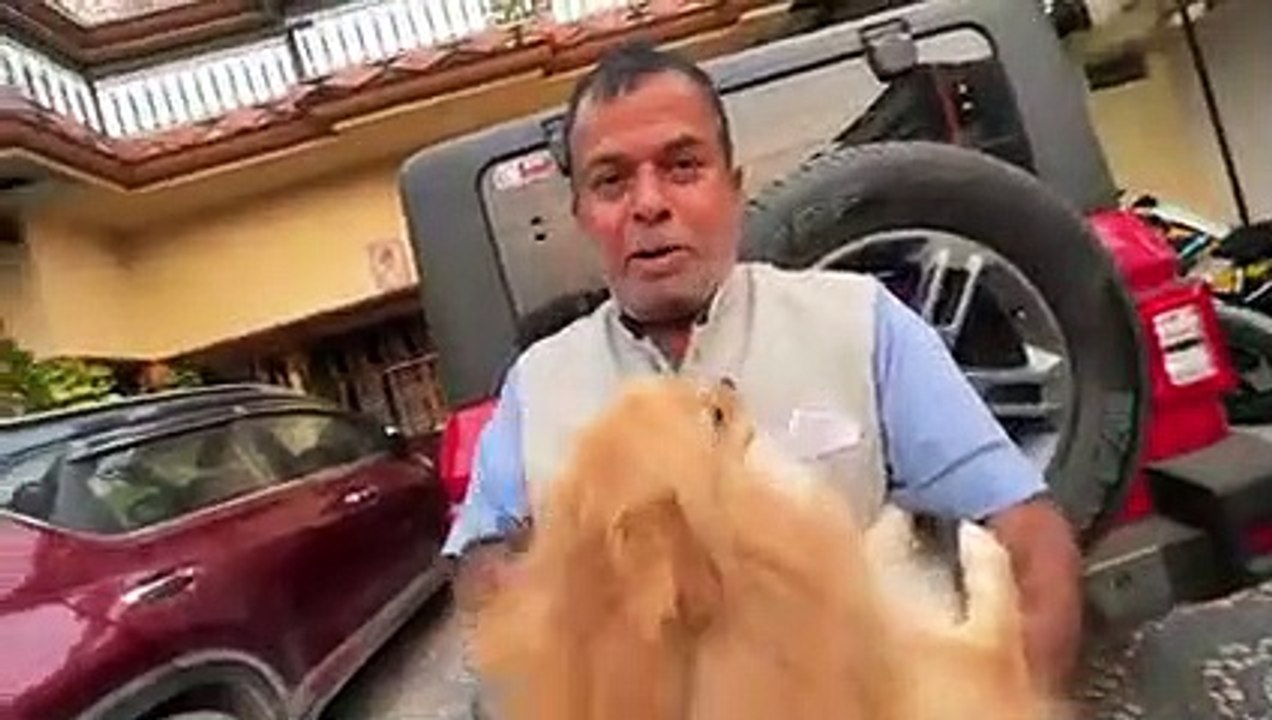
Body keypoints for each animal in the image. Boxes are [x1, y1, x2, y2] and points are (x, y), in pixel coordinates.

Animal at [471, 376, 1063, 720]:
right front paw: (976, 537)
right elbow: (996, 613)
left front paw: (890, 524)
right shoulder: (961, 671)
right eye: (714, 417)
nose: (726, 379)